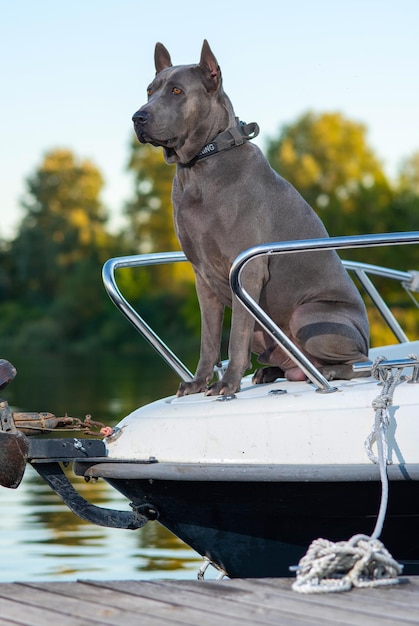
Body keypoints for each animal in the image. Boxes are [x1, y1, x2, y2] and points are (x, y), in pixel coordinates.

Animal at [132, 40, 370, 394]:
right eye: (150, 90)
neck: (201, 165)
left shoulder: (246, 271)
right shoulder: (202, 278)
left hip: (308, 316)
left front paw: (227, 384)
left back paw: (326, 372)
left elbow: (235, 338)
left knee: (357, 363)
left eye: (176, 90)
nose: (138, 117)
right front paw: (198, 382)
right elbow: (209, 339)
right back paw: (270, 372)